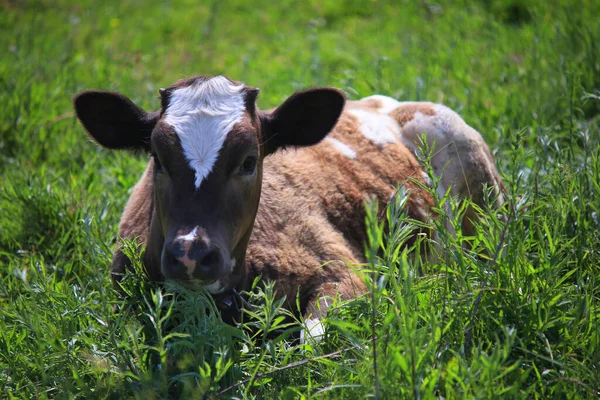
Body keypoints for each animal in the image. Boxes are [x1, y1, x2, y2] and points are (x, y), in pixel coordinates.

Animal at [76, 75, 506, 340]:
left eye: (249, 161)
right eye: (158, 160)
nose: (190, 253)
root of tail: (386, 103)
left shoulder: (344, 271)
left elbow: (312, 340)